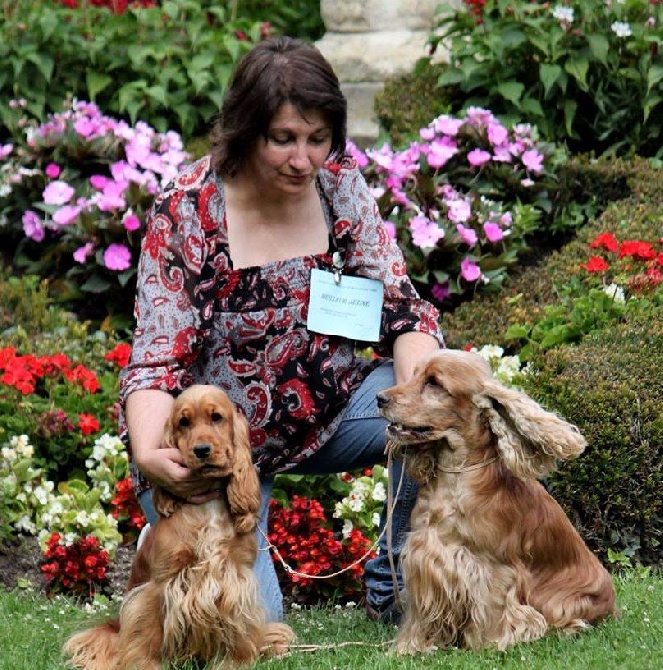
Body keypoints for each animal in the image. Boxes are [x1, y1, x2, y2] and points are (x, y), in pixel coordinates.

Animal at [64, 386, 294, 668]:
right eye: (184, 422)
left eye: (216, 417)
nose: (202, 450)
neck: (207, 508)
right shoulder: (161, 584)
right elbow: (148, 633)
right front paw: (146, 665)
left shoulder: (236, 577)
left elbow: (238, 631)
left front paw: (235, 662)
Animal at [376, 352, 620, 656]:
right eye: (414, 374)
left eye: (434, 383)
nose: (380, 398)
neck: (454, 478)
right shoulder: (424, 556)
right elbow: (420, 615)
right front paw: (410, 646)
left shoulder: (491, 568)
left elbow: (493, 608)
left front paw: (488, 646)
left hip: (566, 600)